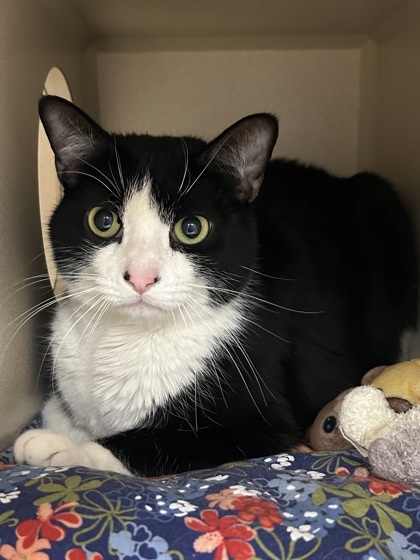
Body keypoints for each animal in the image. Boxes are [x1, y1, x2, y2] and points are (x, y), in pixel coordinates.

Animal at [13, 96, 416, 476]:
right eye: (104, 220)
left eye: (192, 228)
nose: (141, 276)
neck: (126, 337)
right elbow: (58, 410)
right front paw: (63, 433)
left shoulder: (259, 420)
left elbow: (151, 442)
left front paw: (58, 448)